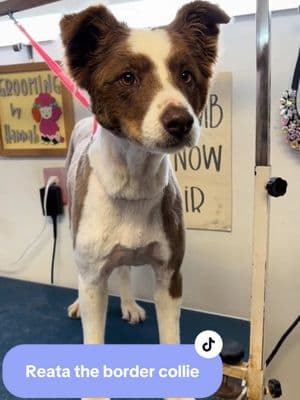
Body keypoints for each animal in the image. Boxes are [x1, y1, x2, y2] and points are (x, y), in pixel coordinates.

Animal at [61, 1, 229, 396]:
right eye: (127, 77)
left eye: (186, 75)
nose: (181, 121)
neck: (133, 182)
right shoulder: (93, 278)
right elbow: (93, 335)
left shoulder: (170, 275)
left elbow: (170, 336)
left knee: (122, 269)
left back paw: (128, 303)